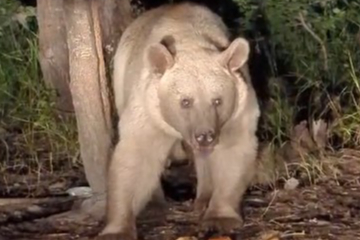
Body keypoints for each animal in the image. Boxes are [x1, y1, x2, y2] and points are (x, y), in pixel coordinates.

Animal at [100, 1, 260, 238]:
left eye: (217, 100)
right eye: (185, 101)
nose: (205, 136)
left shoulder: (237, 111)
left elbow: (233, 153)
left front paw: (220, 217)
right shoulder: (148, 110)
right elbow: (135, 158)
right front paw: (117, 228)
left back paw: (203, 198)